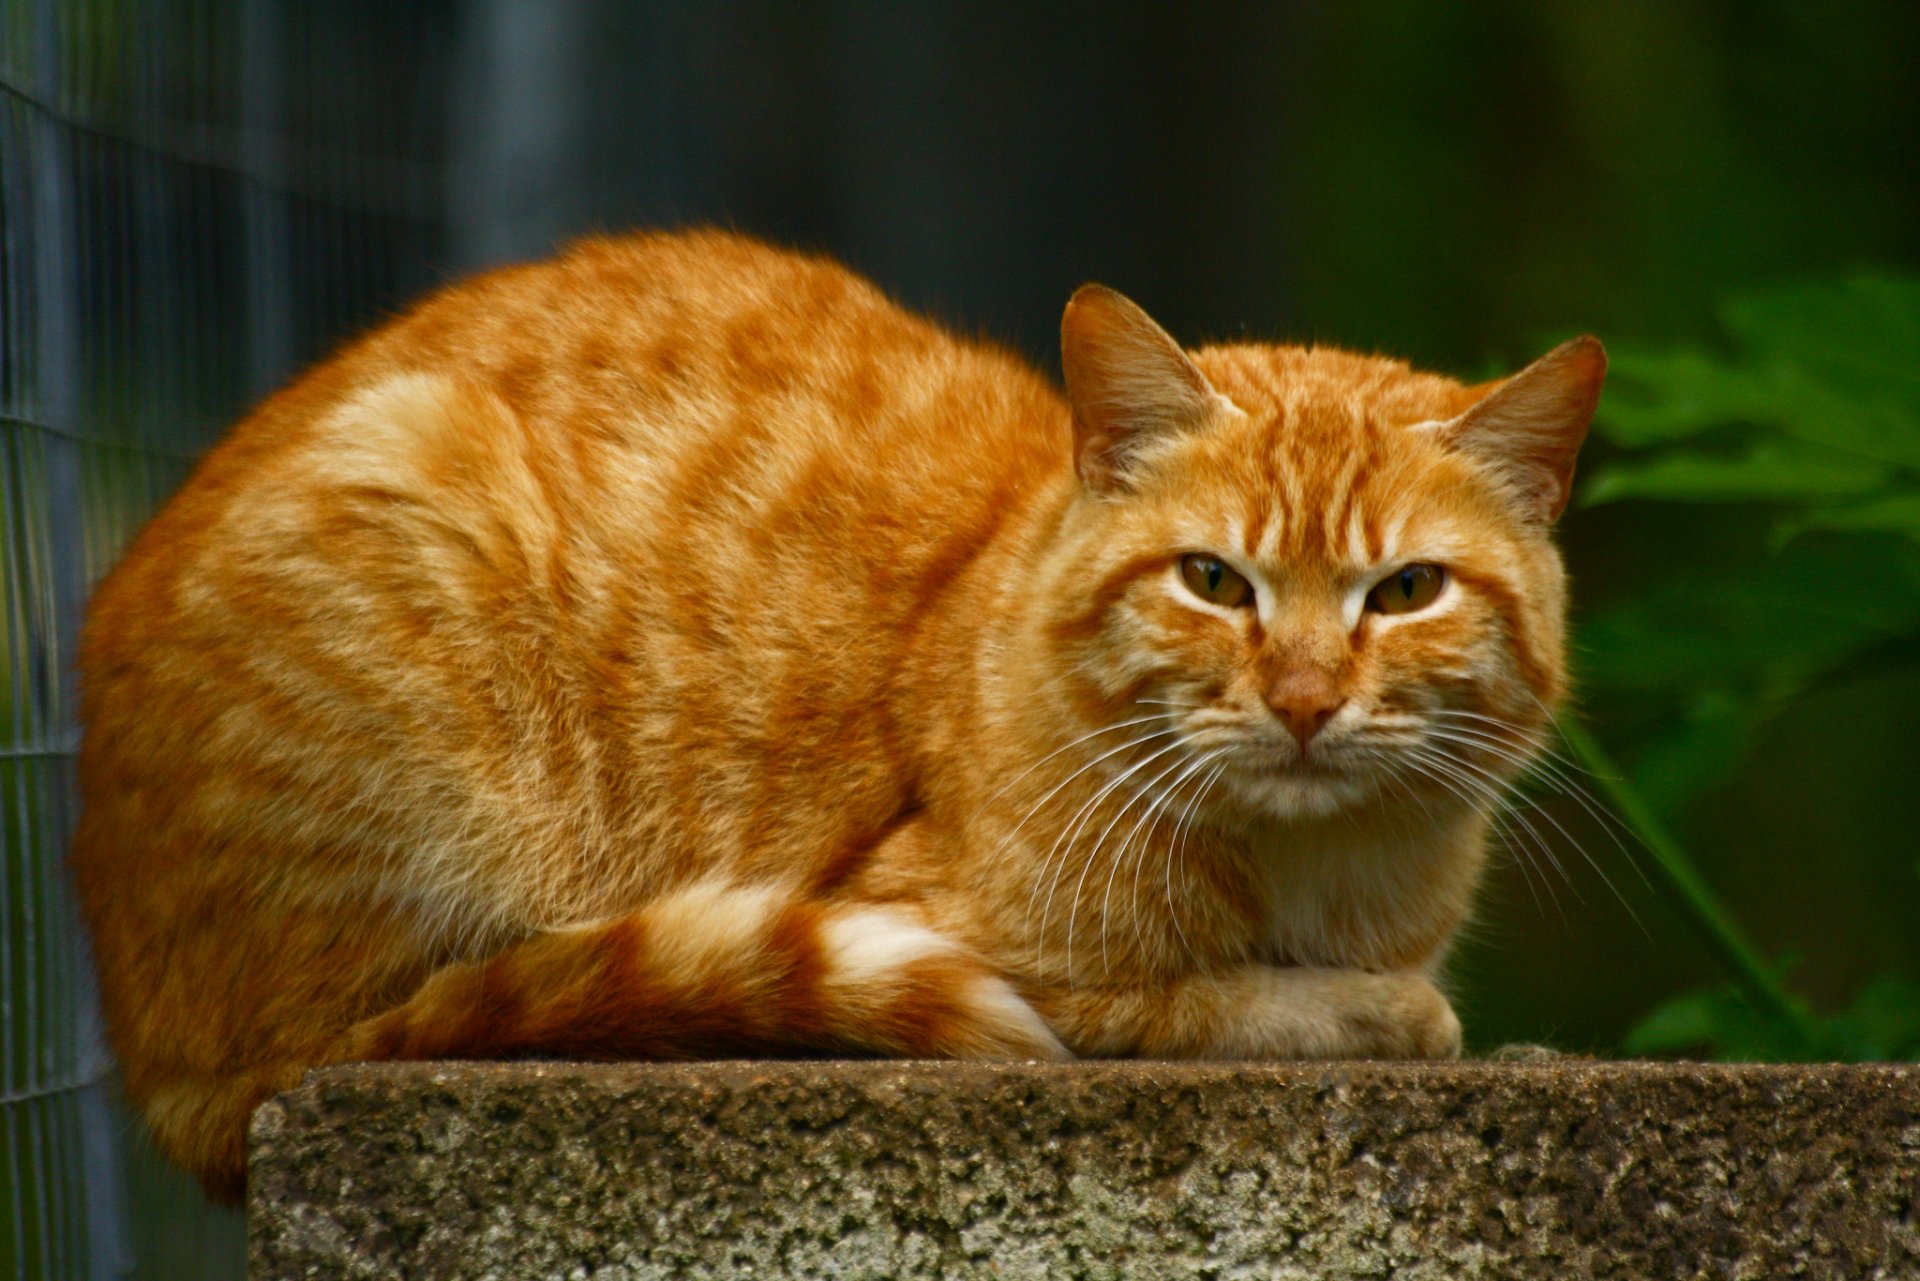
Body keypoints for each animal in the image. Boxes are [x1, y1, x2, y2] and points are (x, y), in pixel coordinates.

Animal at [74, 230, 1597, 1206]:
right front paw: (1388, 1012)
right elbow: (1235, 1003)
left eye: (1406, 591)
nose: (1303, 699)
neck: (1317, 878)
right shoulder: (985, 947)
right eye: (1213, 580)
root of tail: (154, 1058)